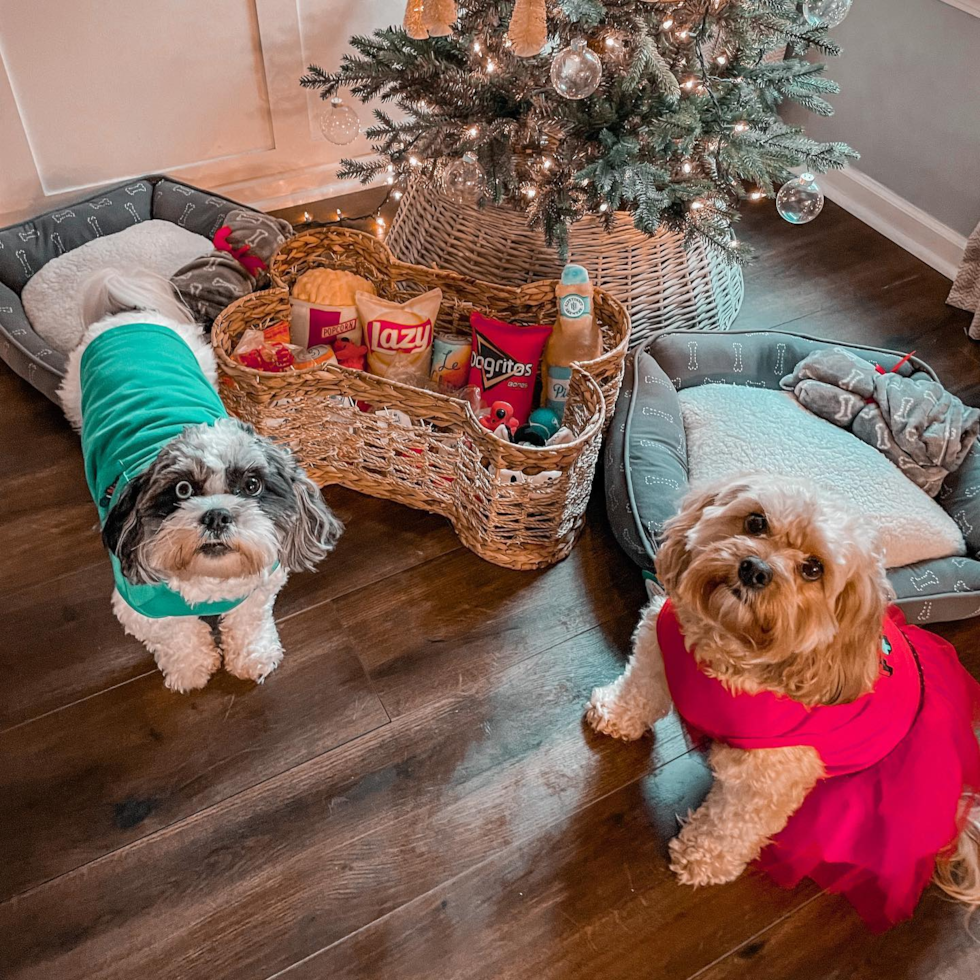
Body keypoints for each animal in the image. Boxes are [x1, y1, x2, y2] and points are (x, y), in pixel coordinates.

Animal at [60, 272, 344, 692]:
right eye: (182, 490)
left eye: (252, 486)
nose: (217, 515)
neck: (211, 581)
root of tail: (128, 315)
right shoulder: (139, 606)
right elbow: (176, 634)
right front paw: (190, 668)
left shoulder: (260, 586)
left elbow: (249, 621)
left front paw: (252, 656)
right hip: (74, 398)